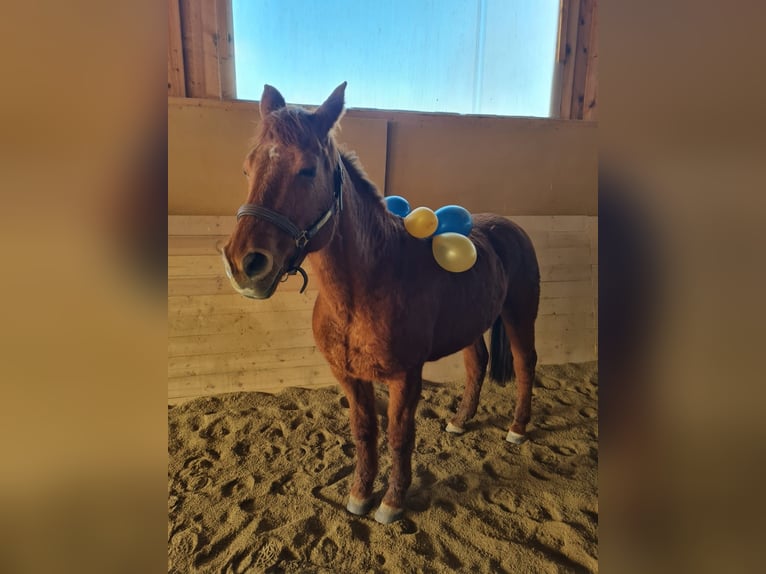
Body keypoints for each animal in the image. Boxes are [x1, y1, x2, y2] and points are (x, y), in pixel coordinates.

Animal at [222, 82, 544, 528]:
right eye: (247, 168)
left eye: (308, 169)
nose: (245, 263)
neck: (364, 289)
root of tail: (509, 227)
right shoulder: (348, 377)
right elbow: (363, 432)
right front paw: (359, 495)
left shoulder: (405, 378)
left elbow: (397, 435)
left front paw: (391, 502)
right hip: (472, 325)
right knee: (476, 364)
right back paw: (460, 421)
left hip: (519, 314)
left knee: (526, 364)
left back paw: (517, 428)